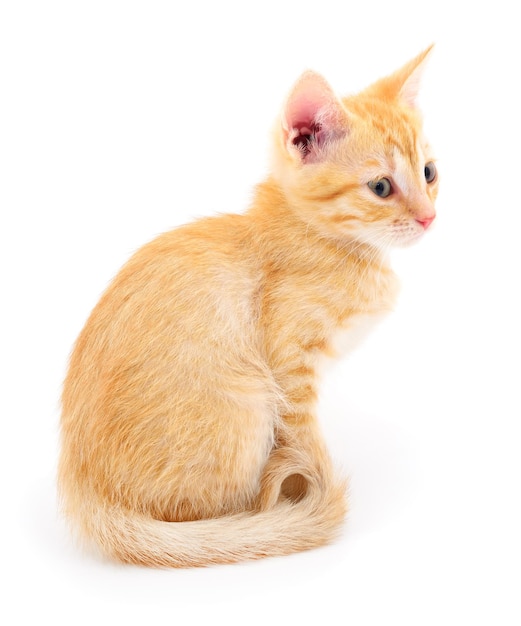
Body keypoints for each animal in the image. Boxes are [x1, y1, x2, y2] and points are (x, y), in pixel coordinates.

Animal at [59, 47, 436, 564]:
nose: (429, 217)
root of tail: (85, 489)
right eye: (381, 187)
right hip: (250, 401)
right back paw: (266, 520)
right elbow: (305, 436)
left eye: (430, 173)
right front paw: (308, 494)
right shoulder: (290, 368)